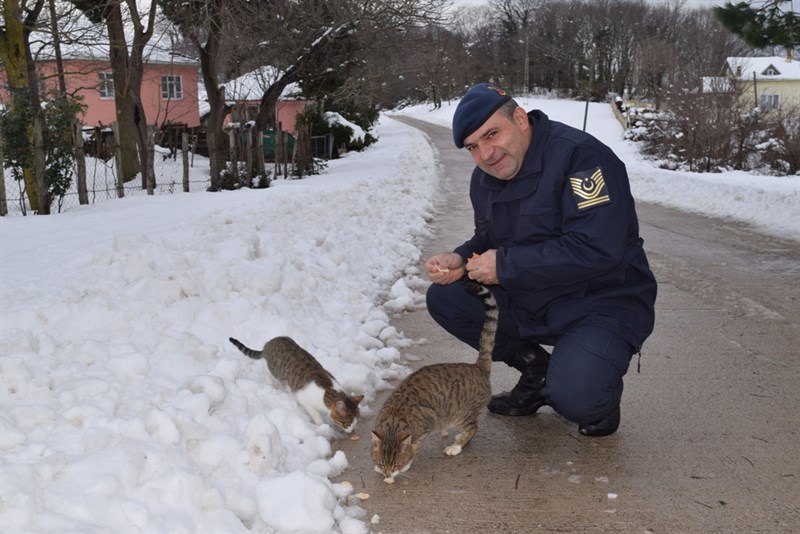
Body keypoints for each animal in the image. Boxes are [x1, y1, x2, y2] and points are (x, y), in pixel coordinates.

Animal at [230, 340, 364, 436]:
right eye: (347, 424)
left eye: (356, 422)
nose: (353, 431)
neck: (328, 390)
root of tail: (268, 344)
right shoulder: (304, 399)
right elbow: (315, 414)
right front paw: (322, 425)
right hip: (274, 370)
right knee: (267, 372)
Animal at [372, 284, 496, 486]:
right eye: (383, 463)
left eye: (397, 464)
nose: (388, 474)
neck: (394, 420)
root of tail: (477, 367)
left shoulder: (427, 421)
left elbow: (414, 446)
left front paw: (407, 463)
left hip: (462, 413)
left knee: (473, 428)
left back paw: (456, 446)